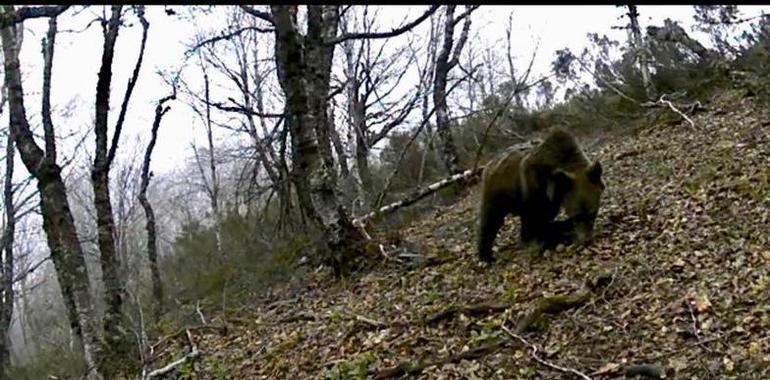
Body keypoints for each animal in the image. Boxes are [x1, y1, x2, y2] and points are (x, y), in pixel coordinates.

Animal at [474, 127, 608, 262]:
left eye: (593, 213)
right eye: (577, 216)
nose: (586, 240)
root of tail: (489, 164)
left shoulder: (553, 199)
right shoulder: (534, 192)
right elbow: (532, 226)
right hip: (496, 192)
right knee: (490, 220)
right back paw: (485, 255)